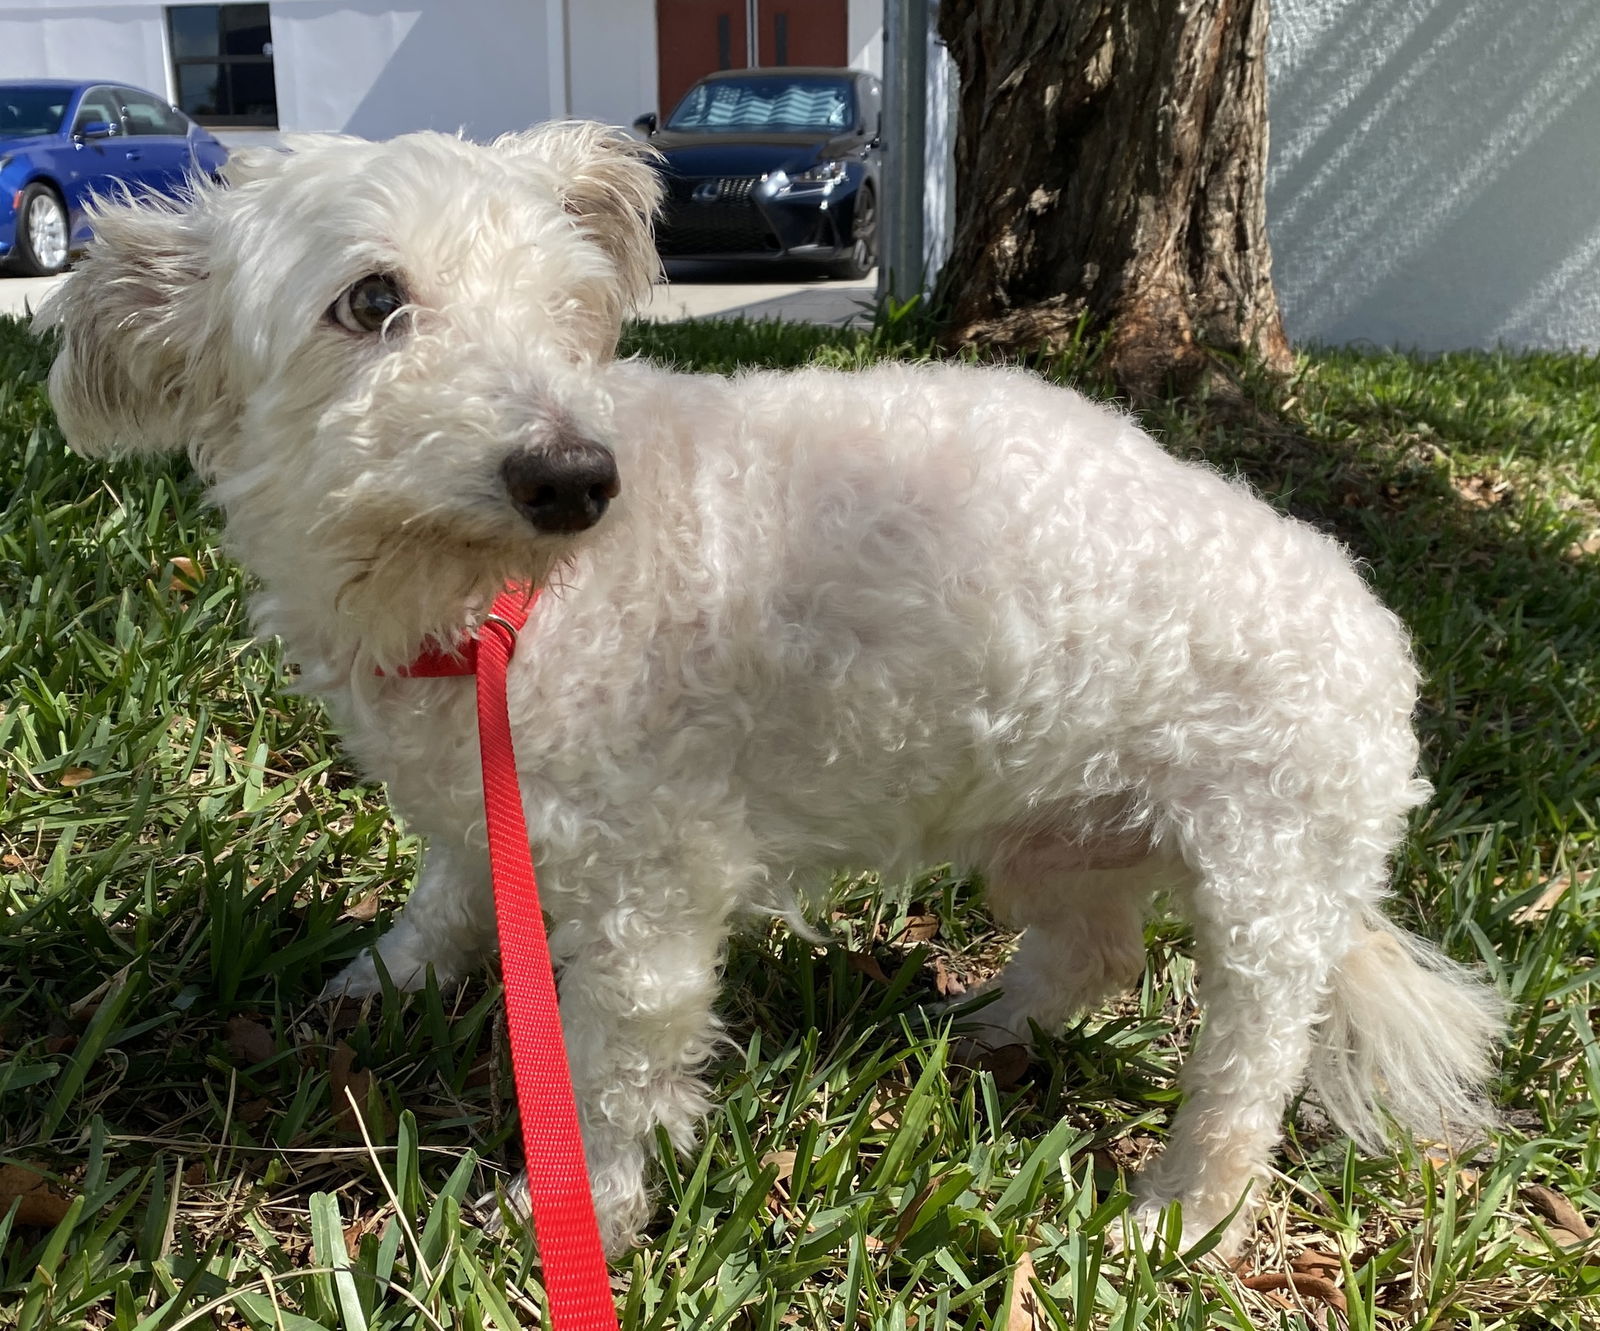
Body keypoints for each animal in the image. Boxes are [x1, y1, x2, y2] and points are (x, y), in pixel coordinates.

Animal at [43, 124, 1504, 1260]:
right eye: (369, 300)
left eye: (569, 310)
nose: (576, 476)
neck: (485, 605)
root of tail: (1376, 628)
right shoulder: (482, 795)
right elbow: (448, 890)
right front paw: (380, 978)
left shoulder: (650, 885)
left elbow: (618, 1066)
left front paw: (576, 1210)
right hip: (1049, 830)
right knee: (1094, 950)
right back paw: (987, 1022)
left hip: (1268, 889)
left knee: (1246, 1072)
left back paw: (1182, 1216)